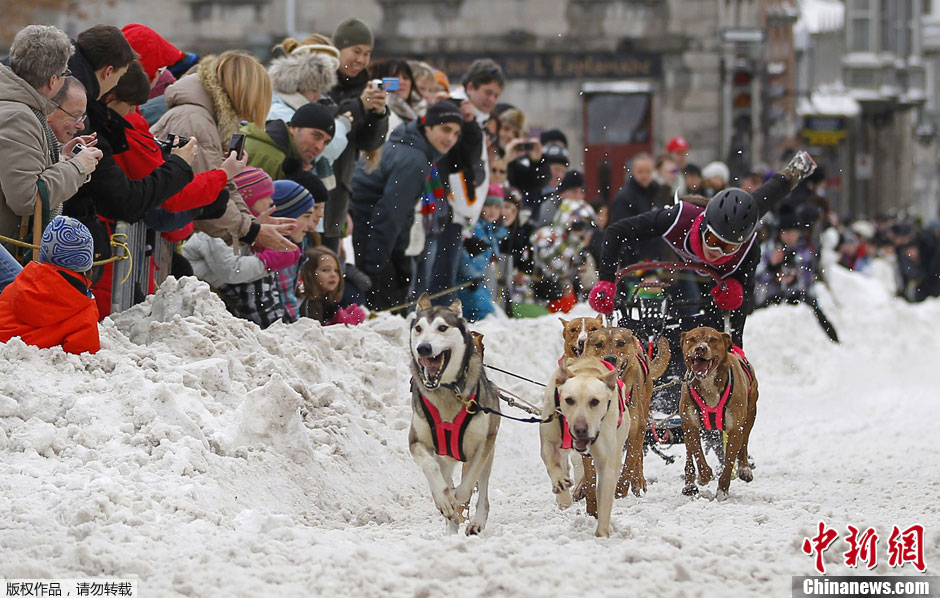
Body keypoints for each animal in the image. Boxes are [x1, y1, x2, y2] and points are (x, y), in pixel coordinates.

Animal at [410, 294, 504, 536]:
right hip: (446, 457)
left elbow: (466, 486)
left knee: (482, 492)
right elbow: (431, 468)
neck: (448, 390)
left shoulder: (482, 445)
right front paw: (444, 501)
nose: (423, 348)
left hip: (489, 453)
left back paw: (476, 521)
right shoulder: (416, 441)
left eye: (442, 327)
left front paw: (454, 498)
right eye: (418, 328)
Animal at [540, 356, 628, 540]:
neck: (587, 371)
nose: (580, 429)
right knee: (564, 463)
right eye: (569, 400)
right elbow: (552, 463)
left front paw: (602, 534)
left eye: (594, 401)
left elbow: (605, 497)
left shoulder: (606, 463)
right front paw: (560, 485)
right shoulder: (549, 440)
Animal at [680, 326, 760, 500]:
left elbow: (729, 462)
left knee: (744, 442)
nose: (700, 348)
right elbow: (697, 453)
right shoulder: (690, 425)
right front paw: (704, 476)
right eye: (693, 339)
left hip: (750, 415)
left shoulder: (735, 429)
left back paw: (744, 469)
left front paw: (722, 490)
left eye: (712, 339)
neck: (709, 383)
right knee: (689, 454)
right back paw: (689, 484)